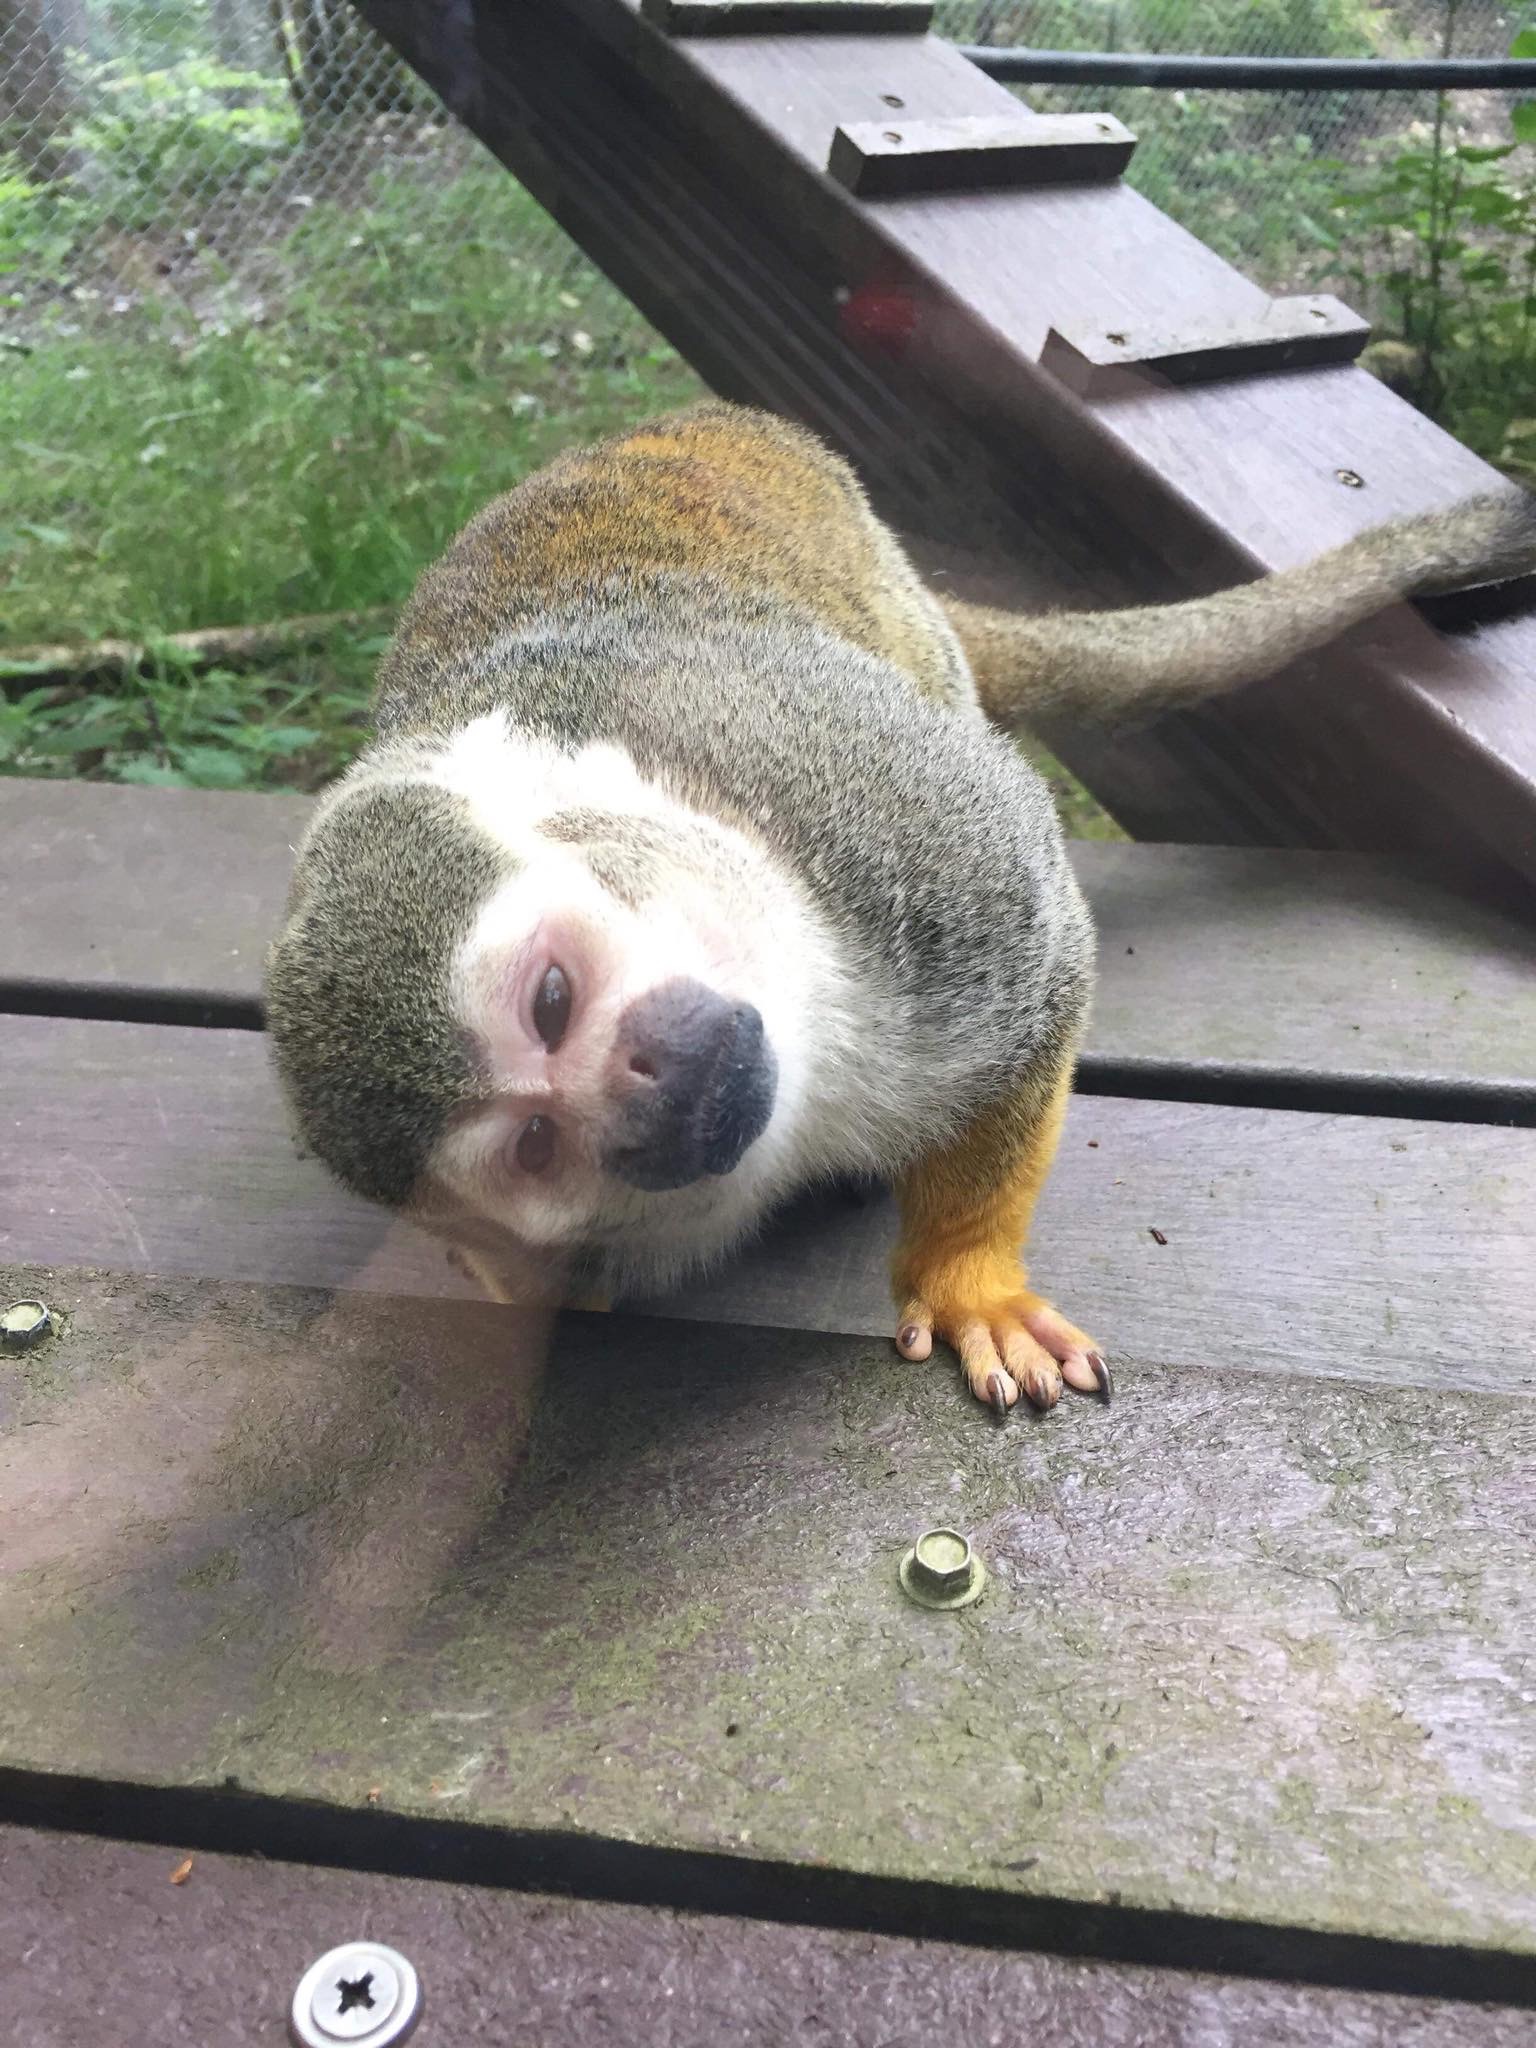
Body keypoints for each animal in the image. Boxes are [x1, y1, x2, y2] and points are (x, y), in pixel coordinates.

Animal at [264, 401, 1536, 1416]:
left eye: (553, 996)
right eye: (535, 1145)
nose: (649, 1081)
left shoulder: (862, 810)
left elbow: (1044, 965)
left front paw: (968, 1271)